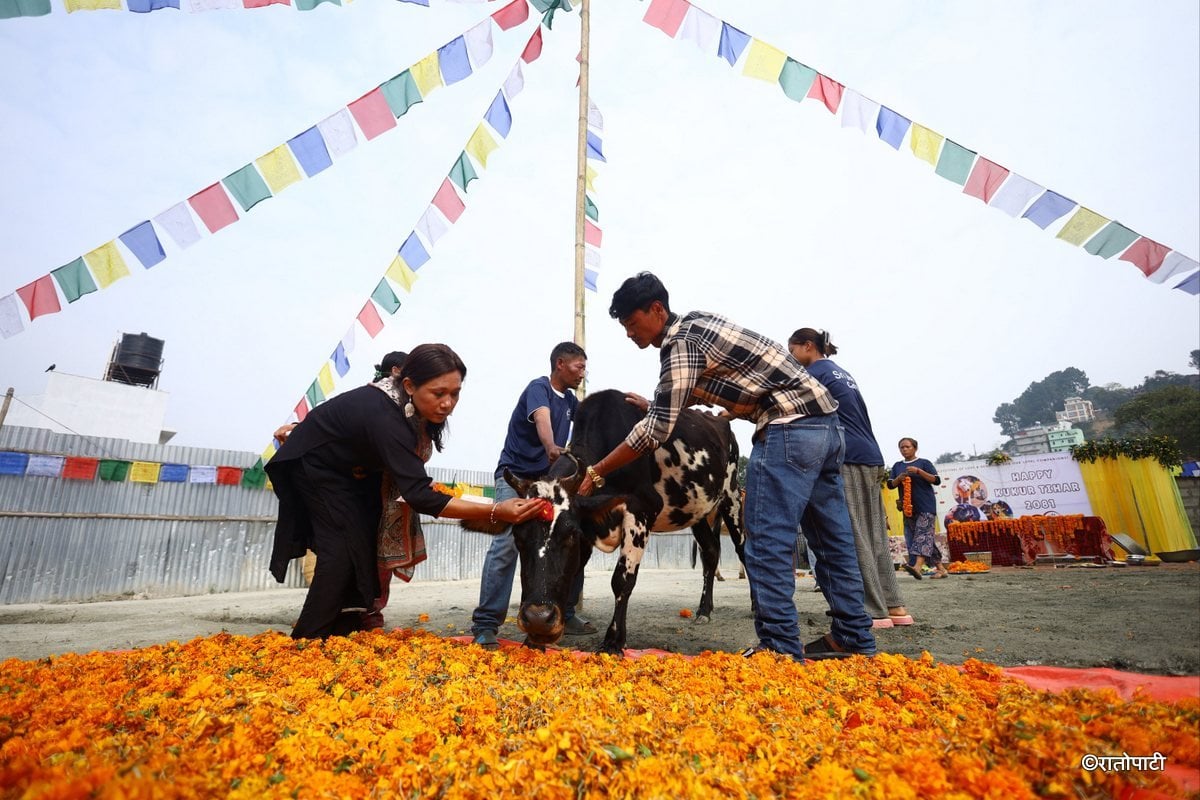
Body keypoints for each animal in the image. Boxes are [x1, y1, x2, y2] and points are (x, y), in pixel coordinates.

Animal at [496, 388, 739, 657]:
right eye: (518, 536)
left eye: (570, 535)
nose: (538, 618)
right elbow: (574, 573)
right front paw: (534, 640)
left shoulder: (640, 511)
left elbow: (622, 580)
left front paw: (613, 641)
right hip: (697, 513)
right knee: (711, 551)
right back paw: (704, 610)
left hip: (731, 497)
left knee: (741, 547)